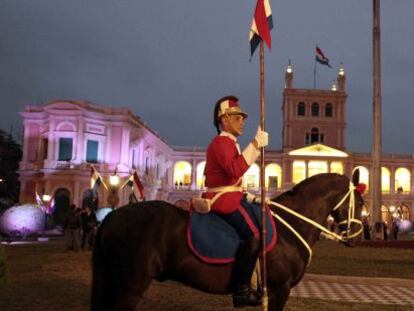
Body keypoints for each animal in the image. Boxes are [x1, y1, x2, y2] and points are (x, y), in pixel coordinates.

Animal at [92, 172, 364, 310]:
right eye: (360, 202)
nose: (358, 237)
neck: (291, 223)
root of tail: (112, 215)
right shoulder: (280, 290)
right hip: (131, 287)